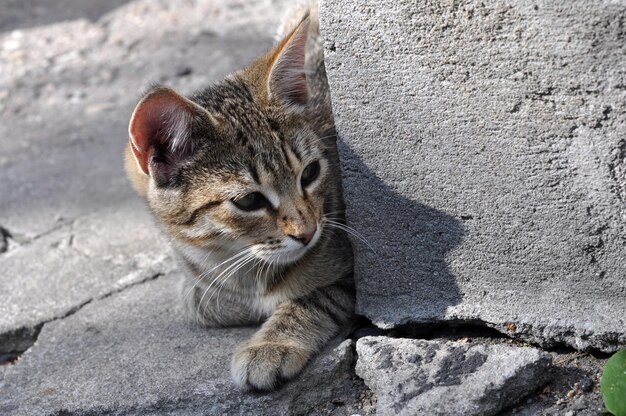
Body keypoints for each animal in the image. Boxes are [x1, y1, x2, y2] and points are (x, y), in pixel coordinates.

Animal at [124, 9, 354, 390]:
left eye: (310, 173)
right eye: (249, 202)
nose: (308, 233)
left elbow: (315, 296)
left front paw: (272, 343)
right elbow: (197, 301)